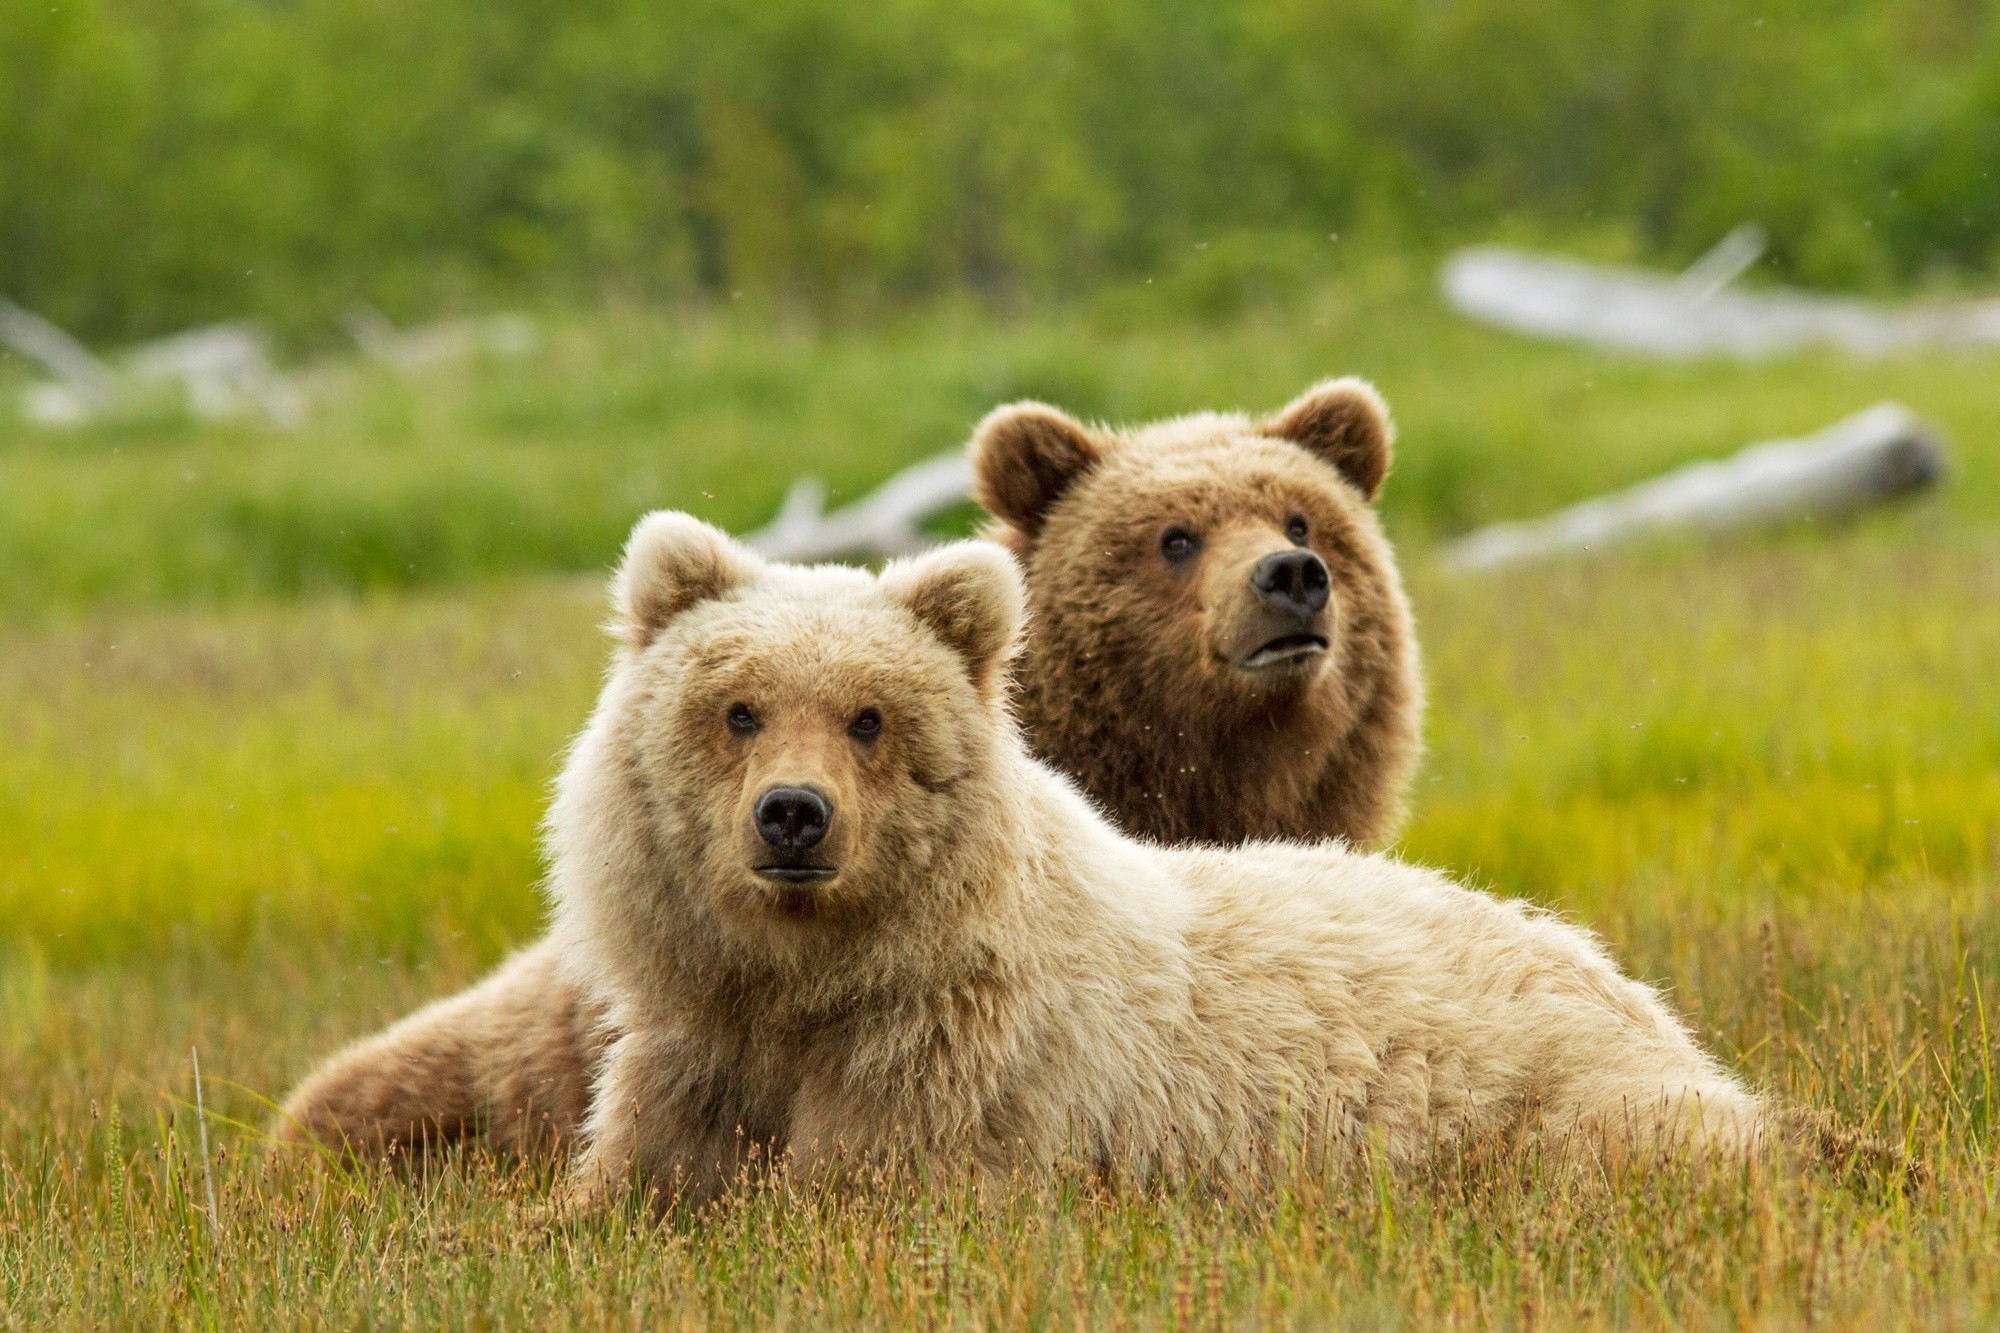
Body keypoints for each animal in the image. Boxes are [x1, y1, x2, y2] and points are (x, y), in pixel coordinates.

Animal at [547, 514, 1759, 1210]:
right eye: (739, 709)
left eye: (869, 718)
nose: (794, 816)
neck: (806, 982)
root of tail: (1637, 991)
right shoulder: (695, 1055)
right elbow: (621, 1188)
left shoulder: (950, 1076)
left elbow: (860, 1193)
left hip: (1554, 1098)